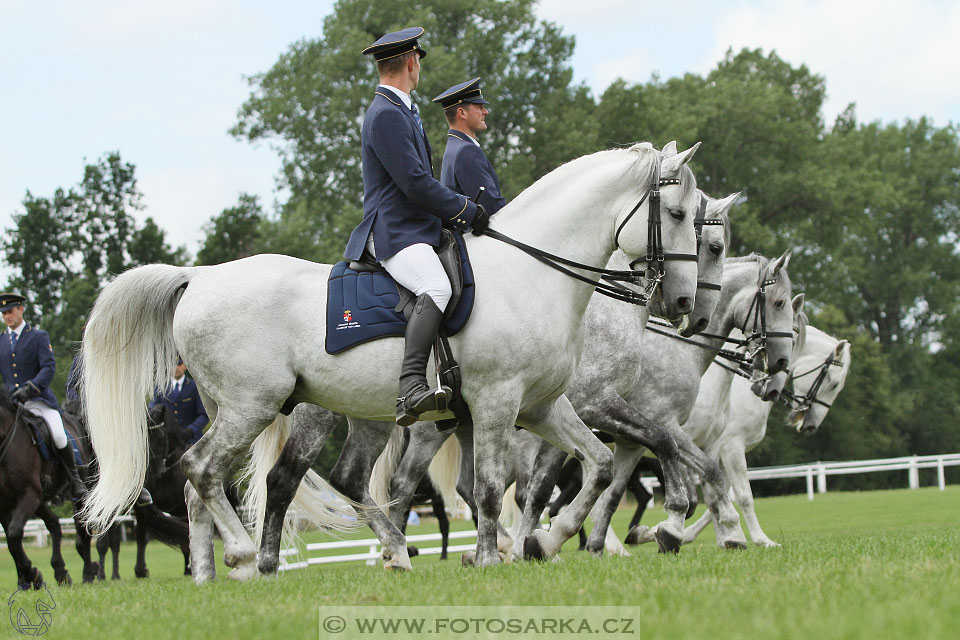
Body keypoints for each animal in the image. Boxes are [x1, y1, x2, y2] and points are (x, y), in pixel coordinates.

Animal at [0, 388, 97, 588]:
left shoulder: (30, 493)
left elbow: (14, 533)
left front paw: (32, 574)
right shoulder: (4, 504)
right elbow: (12, 541)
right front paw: (26, 579)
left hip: (77, 495)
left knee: (82, 530)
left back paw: (87, 574)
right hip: (39, 501)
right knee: (54, 523)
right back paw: (60, 572)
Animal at [80, 141, 696, 580]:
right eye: (678, 213)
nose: (683, 304)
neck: (532, 273)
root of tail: (200, 276)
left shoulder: (542, 406)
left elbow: (595, 464)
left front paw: (547, 539)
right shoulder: (497, 402)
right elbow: (491, 487)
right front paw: (494, 557)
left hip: (247, 408)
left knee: (213, 485)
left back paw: (224, 572)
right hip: (251, 406)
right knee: (203, 469)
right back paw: (244, 556)